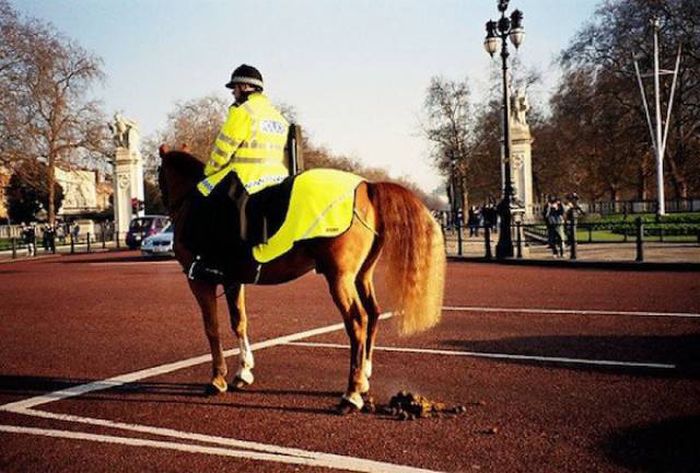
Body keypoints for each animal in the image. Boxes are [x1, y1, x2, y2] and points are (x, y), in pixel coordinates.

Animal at [158, 146, 442, 412]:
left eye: (159, 174)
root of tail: (366, 186)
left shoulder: (199, 281)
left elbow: (211, 327)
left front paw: (217, 378)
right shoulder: (232, 280)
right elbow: (239, 322)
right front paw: (243, 372)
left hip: (339, 278)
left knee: (356, 321)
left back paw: (351, 394)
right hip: (362, 275)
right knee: (372, 313)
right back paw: (363, 377)